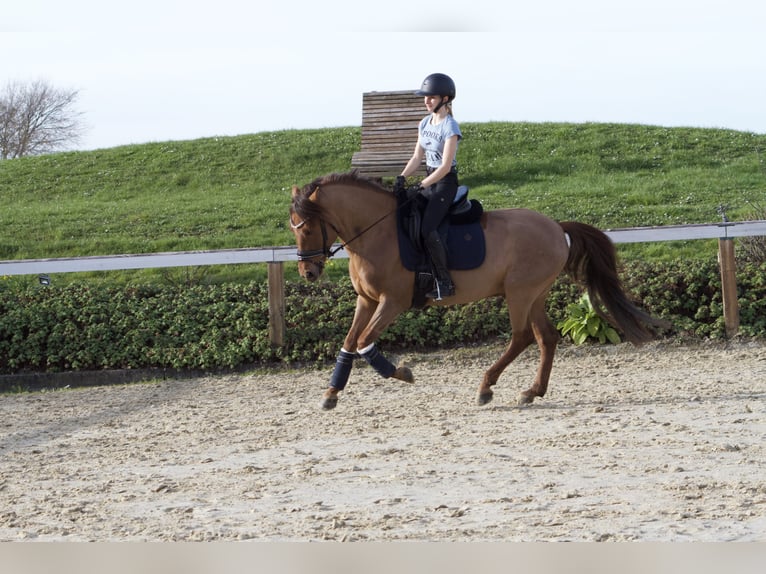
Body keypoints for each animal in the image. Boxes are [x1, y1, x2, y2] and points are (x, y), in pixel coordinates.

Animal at [292, 169, 668, 412]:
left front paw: (401, 373)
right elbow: (349, 342)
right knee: (546, 337)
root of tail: (555, 226)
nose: (308, 272)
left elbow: (364, 341)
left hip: (519, 292)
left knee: (522, 337)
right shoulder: (367, 300)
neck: (378, 233)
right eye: (293, 228)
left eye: (307, 228)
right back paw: (532, 392)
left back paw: (486, 387)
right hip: (535, 294)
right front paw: (331, 393)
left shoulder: (392, 302)